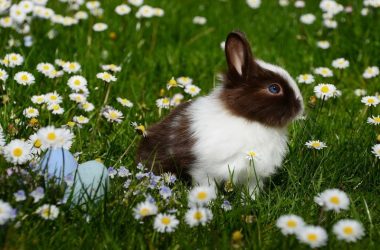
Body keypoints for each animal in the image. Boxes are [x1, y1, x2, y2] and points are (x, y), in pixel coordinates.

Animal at [137, 31, 302, 198]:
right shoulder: (203, 171)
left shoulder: (253, 176)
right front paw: (209, 200)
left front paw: (250, 200)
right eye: (274, 88)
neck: (247, 119)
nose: (300, 106)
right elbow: (206, 187)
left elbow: (251, 190)